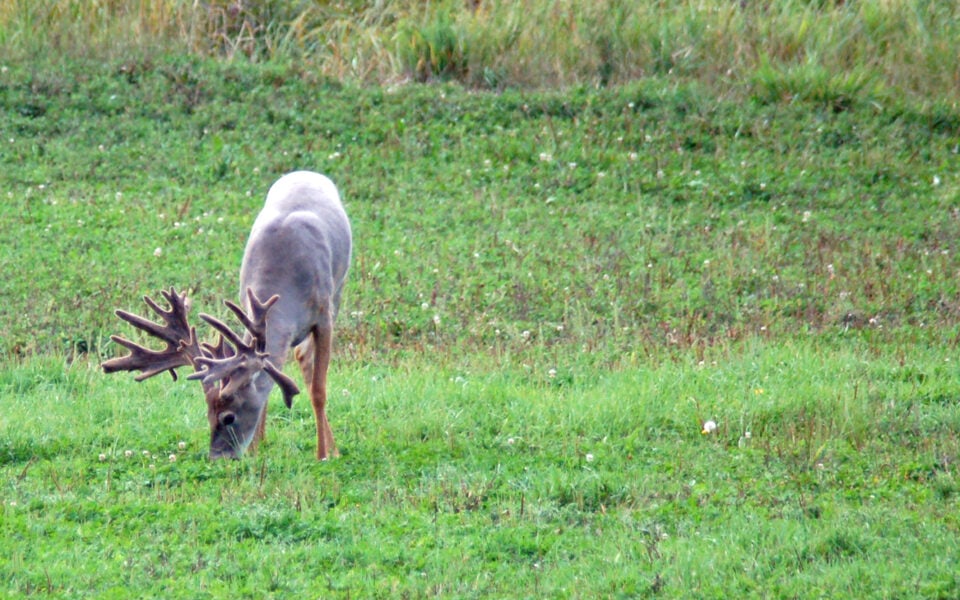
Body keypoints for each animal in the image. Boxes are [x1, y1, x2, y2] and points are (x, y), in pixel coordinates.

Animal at [100, 171, 352, 462]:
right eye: (208, 414)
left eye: (229, 417)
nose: (217, 458)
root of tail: (307, 172)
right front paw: (255, 449)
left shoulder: (323, 315)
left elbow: (319, 389)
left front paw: (323, 455)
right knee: (300, 357)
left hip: (338, 290)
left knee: (309, 367)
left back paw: (332, 449)